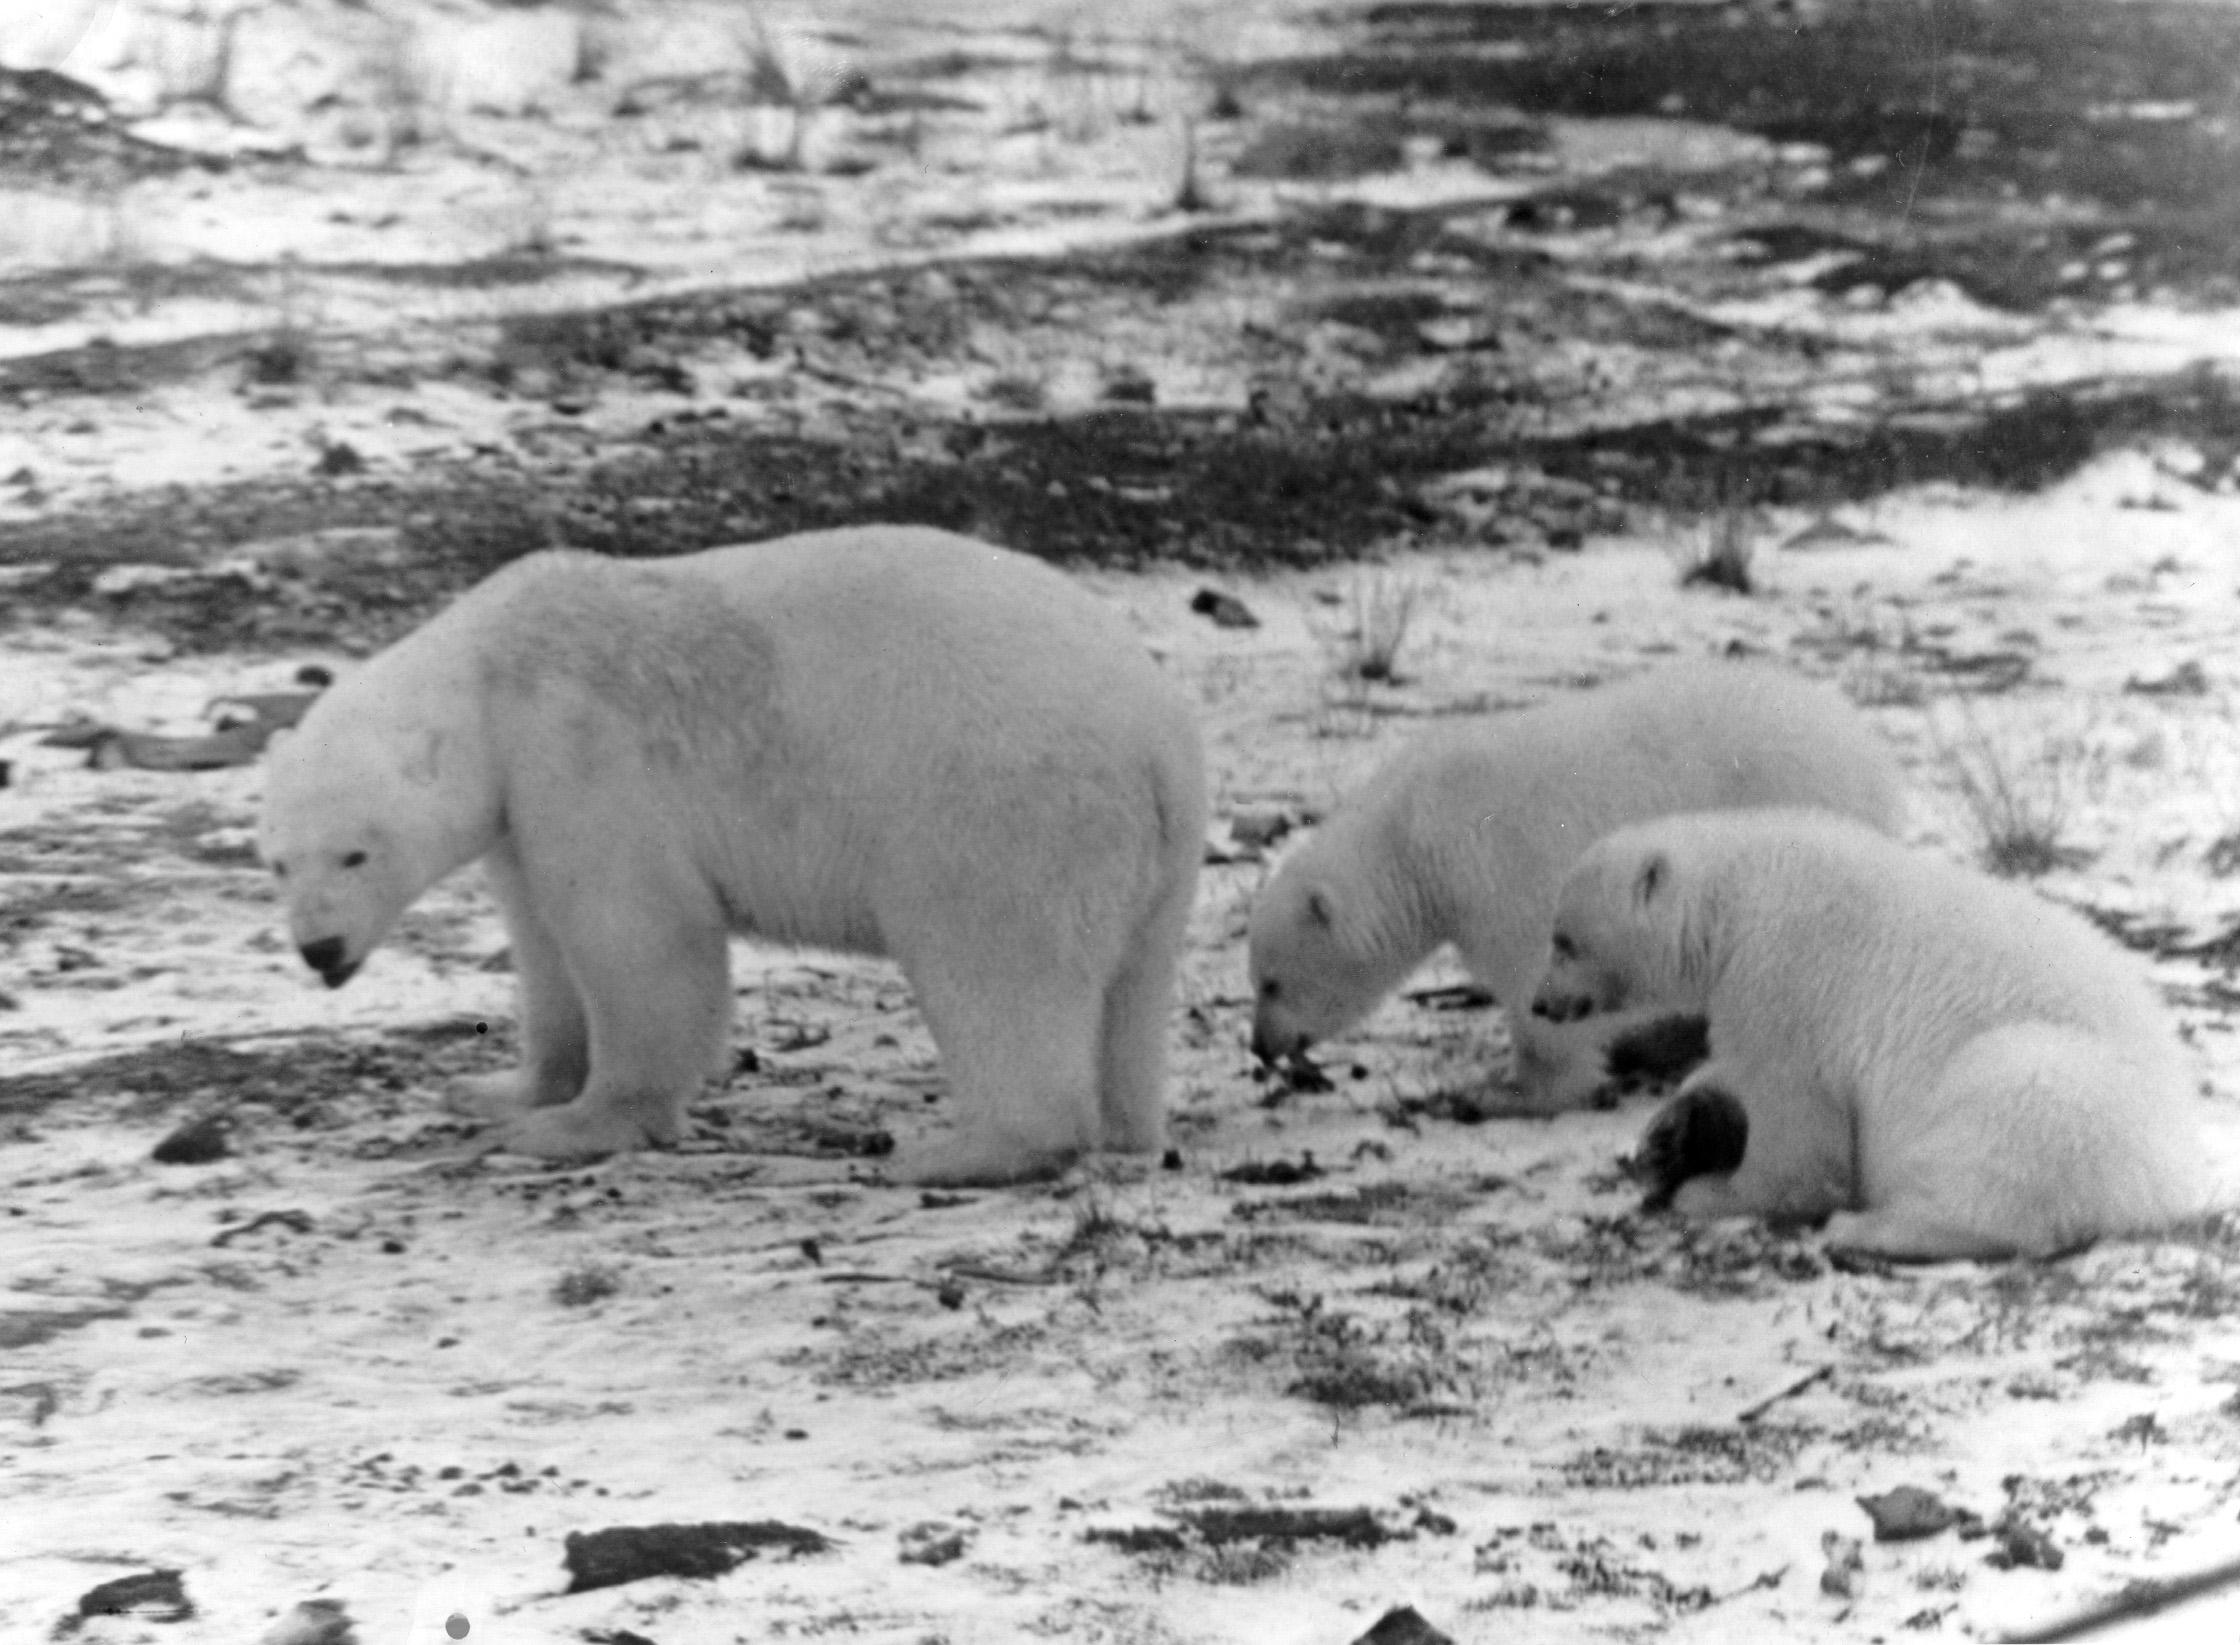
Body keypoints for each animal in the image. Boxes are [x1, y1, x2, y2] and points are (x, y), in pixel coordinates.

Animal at [259, 528, 1209, 1183]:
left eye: (355, 853)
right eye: (278, 861)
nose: (319, 949)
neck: (496, 667)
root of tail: (1160, 737)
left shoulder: (580, 750)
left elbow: (638, 938)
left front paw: (578, 1125)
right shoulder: (520, 813)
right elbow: (544, 948)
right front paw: (505, 1088)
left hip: (998, 807)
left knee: (993, 966)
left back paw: (964, 1150)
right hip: (1151, 860)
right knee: (1131, 985)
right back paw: (1126, 1124)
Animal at [1254, 663, 1899, 1116]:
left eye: (1271, 982)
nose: (1260, 1047)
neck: (1412, 837)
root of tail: (1860, 742)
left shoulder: (1496, 872)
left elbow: (1532, 982)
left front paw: (1510, 1093)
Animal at [1532, 811, 2213, 1264]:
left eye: (1564, 940)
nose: (1541, 1004)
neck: (1736, 896)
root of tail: (2168, 1180)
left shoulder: (1784, 977)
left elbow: (1797, 1127)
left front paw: (1712, 1192)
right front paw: (1674, 1128)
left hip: (2052, 1083)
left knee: (2000, 1142)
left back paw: (1867, 1229)